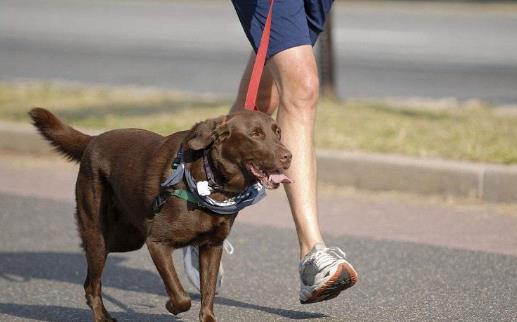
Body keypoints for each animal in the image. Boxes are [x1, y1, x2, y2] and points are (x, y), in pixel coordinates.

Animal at [29, 109, 290, 322]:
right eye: (255, 134)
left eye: (277, 132)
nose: (289, 156)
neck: (211, 179)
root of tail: (94, 140)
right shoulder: (157, 242)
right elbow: (181, 296)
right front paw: (171, 306)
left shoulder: (212, 246)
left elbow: (207, 294)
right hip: (99, 235)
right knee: (92, 284)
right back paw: (102, 317)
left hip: (127, 239)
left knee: (89, 279)